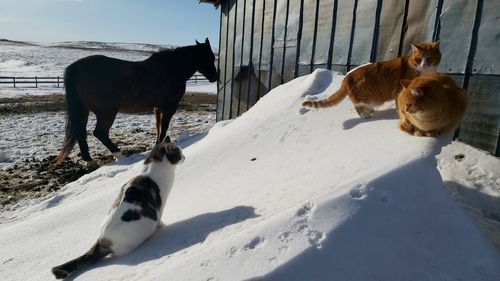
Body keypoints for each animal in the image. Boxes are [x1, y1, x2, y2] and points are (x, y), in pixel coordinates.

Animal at [51, 136, 186, 278]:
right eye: (179, 153)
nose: (184, 157)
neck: (152, 170)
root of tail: (102, 241)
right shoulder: (160, 206)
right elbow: (160, 217)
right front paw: (161, 225)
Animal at [54, 38, 217, 163]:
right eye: (210, 57)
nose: (215, 77)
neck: (170, 70)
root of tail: (75, 68)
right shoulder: (169, 107)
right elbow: (163, 128)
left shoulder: (157, 107)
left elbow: (158, 127)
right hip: (106, 112)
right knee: (100, 133)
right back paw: (119, 155)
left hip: (84, 110)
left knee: (81, 133)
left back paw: (89, 160)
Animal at [300, 41, 442, 117]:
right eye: (419, 59)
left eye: (429, 58)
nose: (424, 65)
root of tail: (347, 77)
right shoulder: (400, 92)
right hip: (365, 98)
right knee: (358, 106)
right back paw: (365, 115)